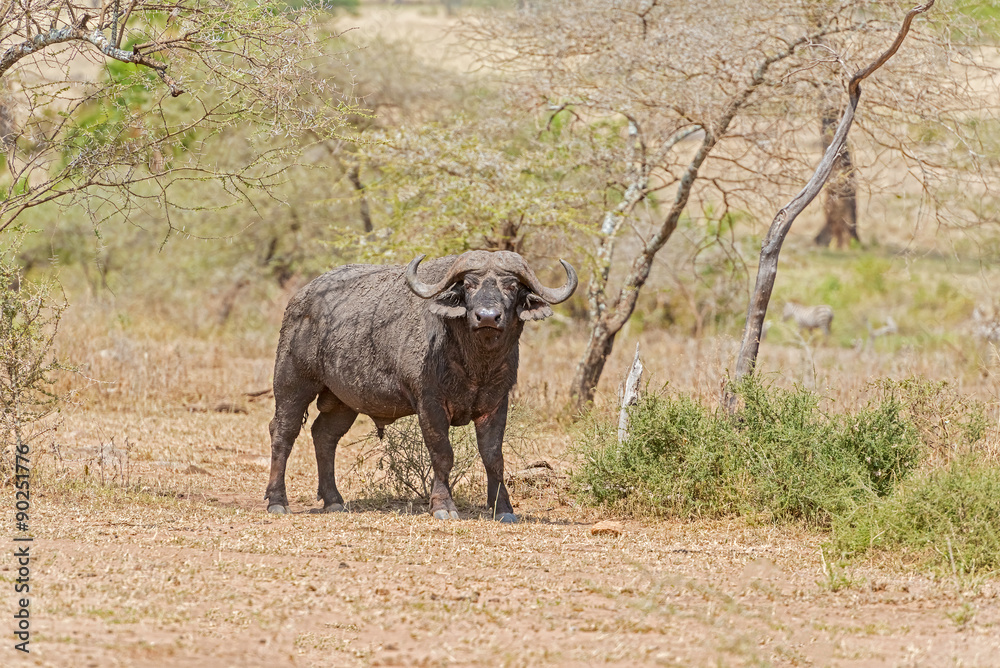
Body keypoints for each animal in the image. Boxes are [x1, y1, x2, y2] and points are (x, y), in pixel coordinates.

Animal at [264, 250, 577, 522]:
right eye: (469, 285)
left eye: (511, 286)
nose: (487, 316)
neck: (475, 363)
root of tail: (301, 299)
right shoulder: (430, 403)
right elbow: (442, 454)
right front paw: (443, 506)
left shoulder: (496, 403)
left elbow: (493, 457)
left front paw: (503, 509)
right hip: (292, 383)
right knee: (283, 432)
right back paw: (277, 501)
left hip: (343, 400)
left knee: (324, 435)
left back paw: (333, 500)